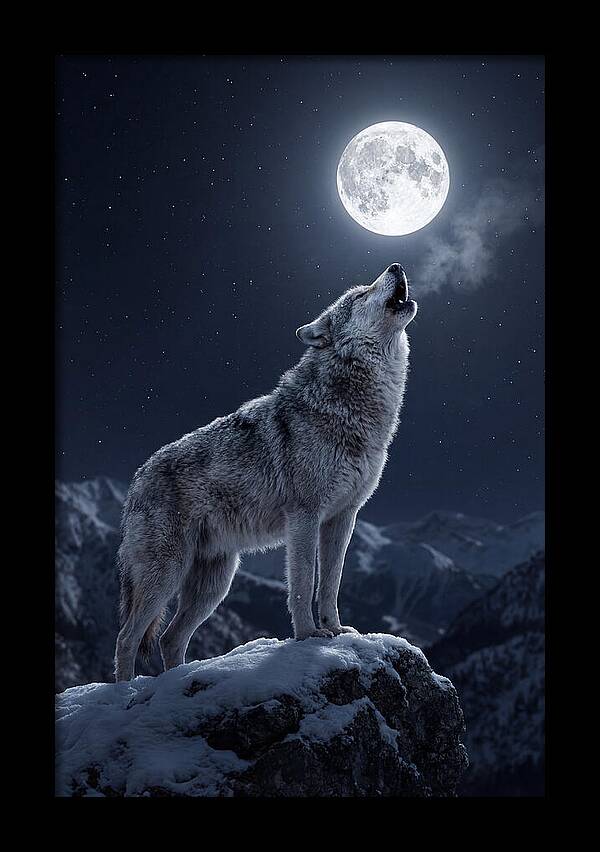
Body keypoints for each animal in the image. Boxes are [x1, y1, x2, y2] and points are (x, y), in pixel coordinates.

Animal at [114, 263, 417, 681]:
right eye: (360, 294)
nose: (396, 266)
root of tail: (136, 479)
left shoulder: (343, 517)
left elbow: (331, 583)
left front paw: (337, 630)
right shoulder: (304, 517)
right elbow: (303, 582)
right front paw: (308, 636)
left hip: (215, 584)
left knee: (168, 638)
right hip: (165, 576)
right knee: (127, 638)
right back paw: (124, 691)